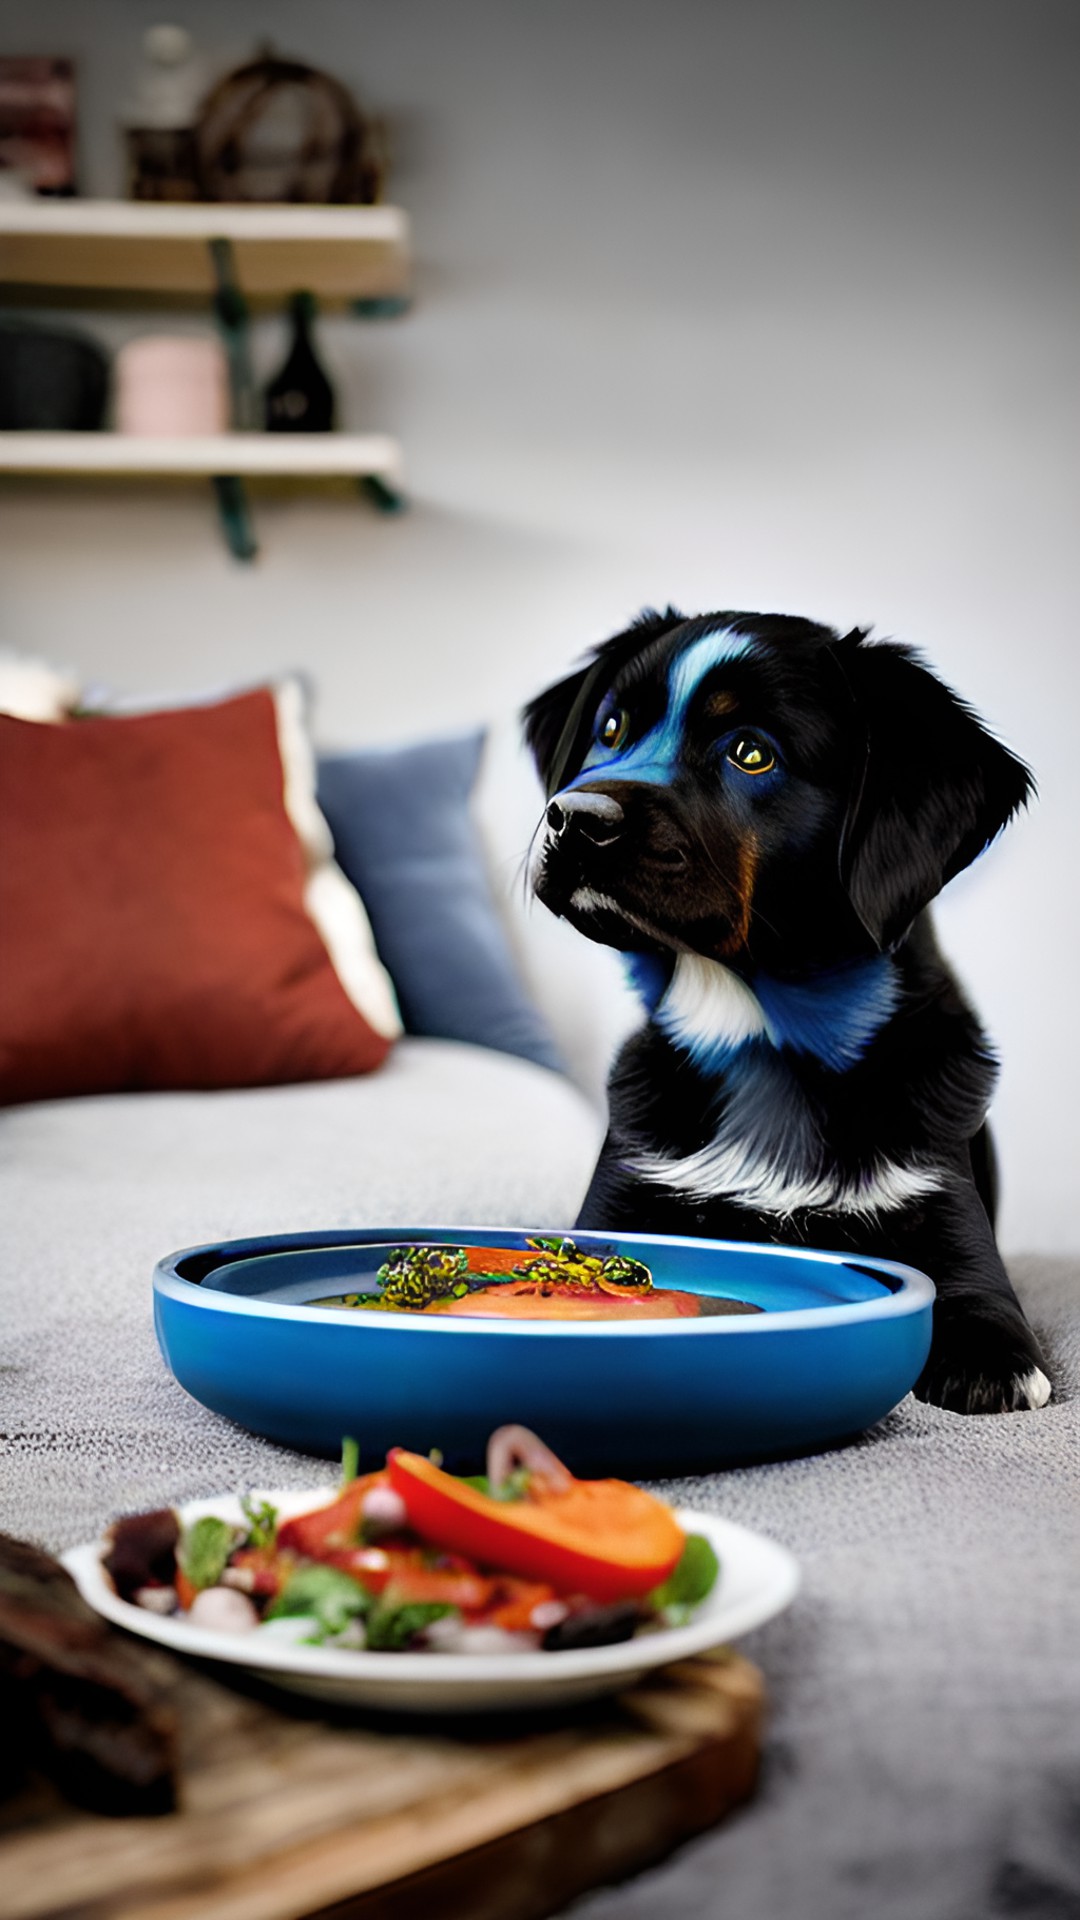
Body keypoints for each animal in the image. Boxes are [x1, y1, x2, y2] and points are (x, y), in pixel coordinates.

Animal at [526, 606, 1045, 1420]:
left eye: (751, 753)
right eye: (611, 728)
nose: (573, 817)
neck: (763, 1035)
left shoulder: (941, 1198)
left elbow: (978, 1295)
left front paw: (994, 1360)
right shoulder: (625, 1198)